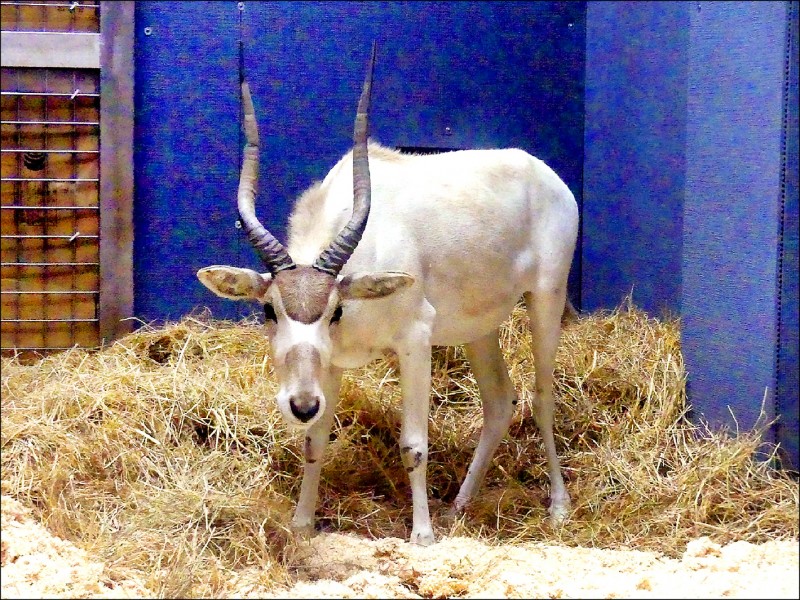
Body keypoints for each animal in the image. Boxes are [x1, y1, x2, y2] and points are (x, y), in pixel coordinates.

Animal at [197, 44, 580, 548]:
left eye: (336, 311)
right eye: (267, 310)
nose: (300, 404)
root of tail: (546, 176)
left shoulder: (415, 340)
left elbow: (413, 445)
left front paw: (422, 536)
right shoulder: (329, 365)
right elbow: (314, 440)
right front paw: (302, 524)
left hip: (546, 298)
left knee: (541, 396)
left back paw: (557, 507)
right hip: (478, 327)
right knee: (499, 401)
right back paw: (459, 505)